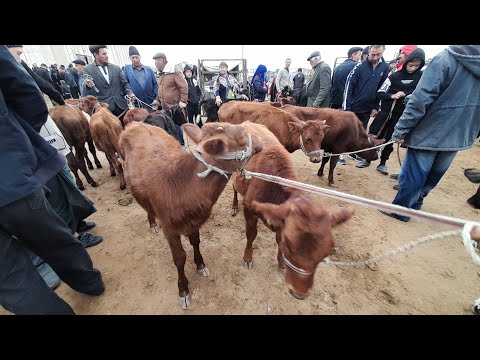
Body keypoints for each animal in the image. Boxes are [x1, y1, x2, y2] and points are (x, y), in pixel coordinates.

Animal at [119, 121, 262, 310]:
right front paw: (183, 290)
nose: (261, 140)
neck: (184, 187)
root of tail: (137, 123)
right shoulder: (169, 228)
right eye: (241, 134)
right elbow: (179, 258)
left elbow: (196, 242)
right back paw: (152, 224)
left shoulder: (194, 221)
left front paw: (200, 264)